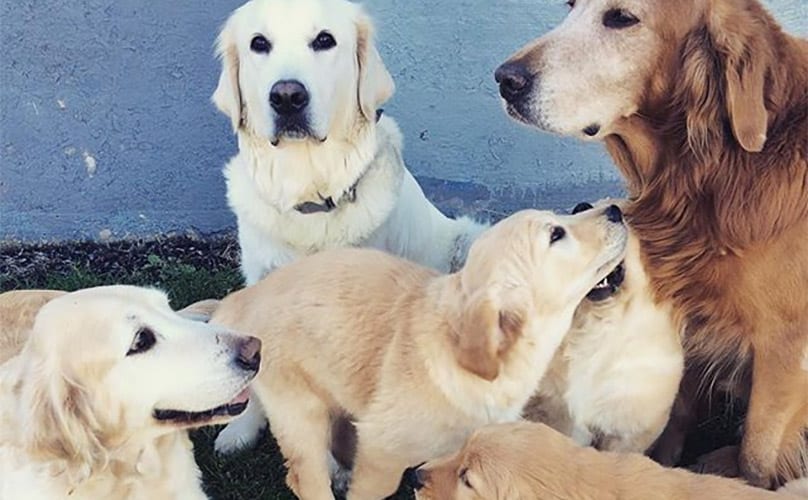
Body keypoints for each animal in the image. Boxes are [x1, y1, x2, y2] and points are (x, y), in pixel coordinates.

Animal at [211, 204, 628, 500]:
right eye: (556, 233)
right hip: (298, 407)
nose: (615, 209)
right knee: (306, 477)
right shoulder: (381, 451)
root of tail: (242, 298)